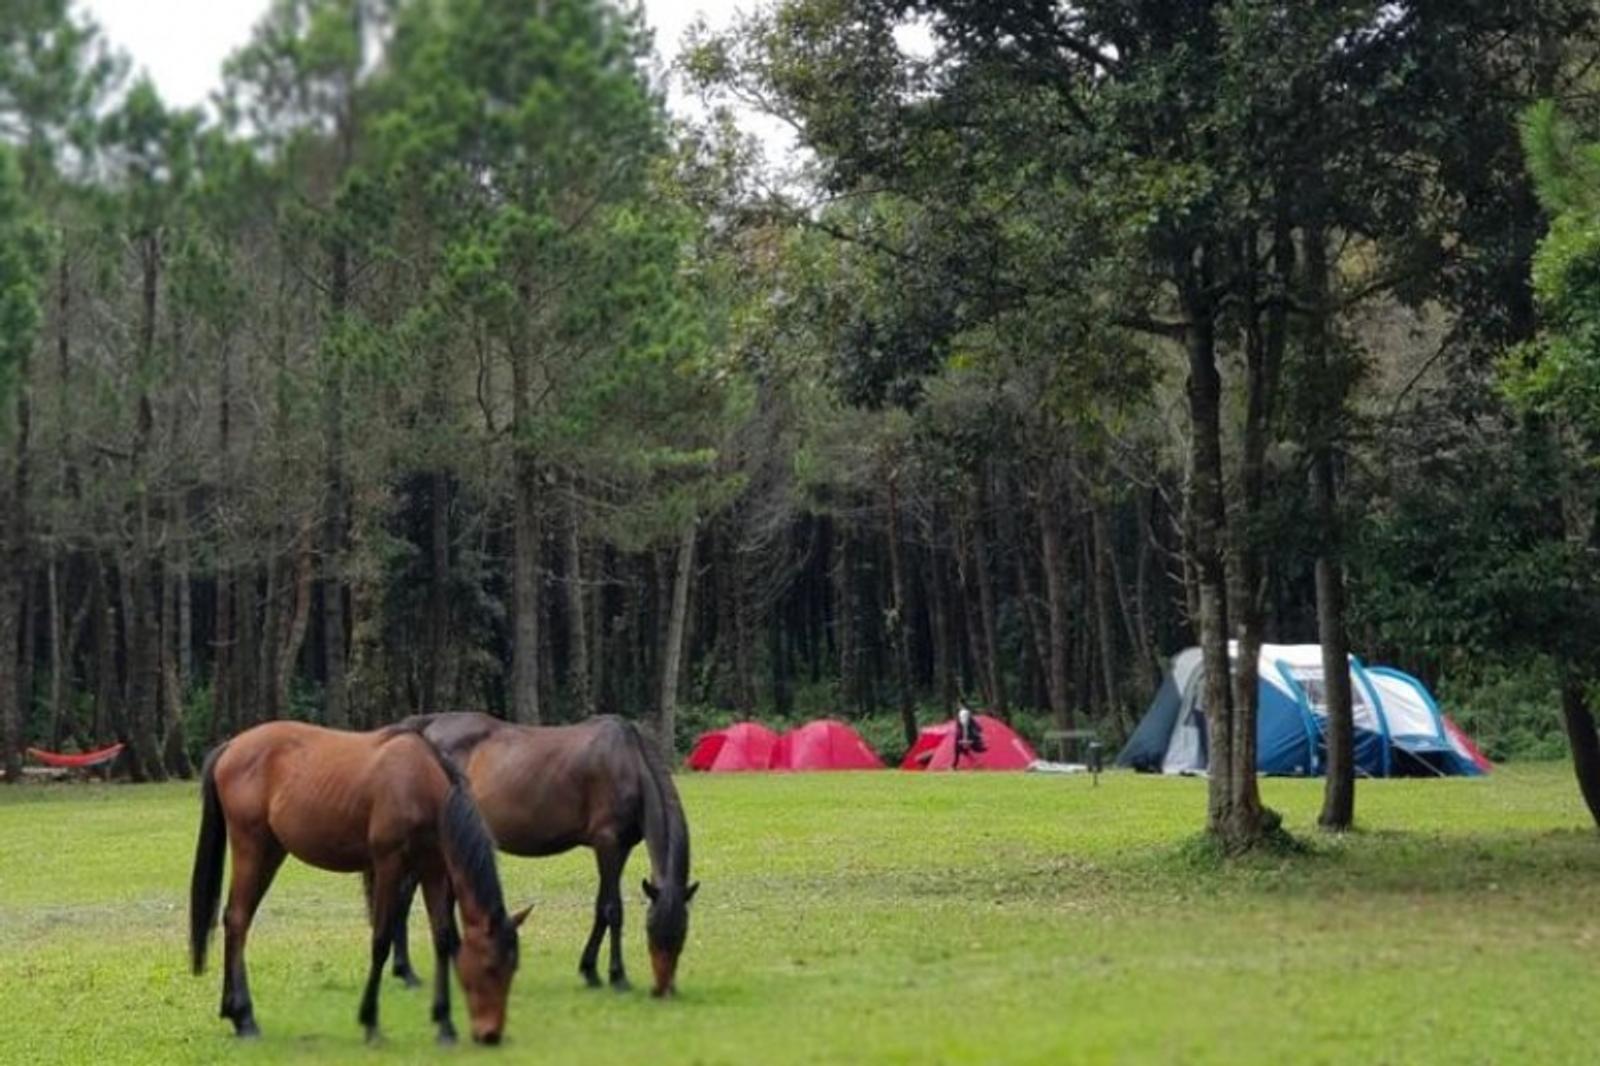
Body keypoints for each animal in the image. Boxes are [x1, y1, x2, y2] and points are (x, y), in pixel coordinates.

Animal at [186, 717, 524, 1043]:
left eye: (513, 968)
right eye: (489, 967)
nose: (490, 1035)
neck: (419, 783)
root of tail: (231, 746)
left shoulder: (434, 869)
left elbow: (442, 939)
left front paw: (445, 1025)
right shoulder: (389, 865)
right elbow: (382, 939)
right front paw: (370, 1022)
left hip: (271, 852)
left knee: (238, 921)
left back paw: (233, 1012)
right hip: (251, 848)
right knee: (237, 919)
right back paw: (245, 1019)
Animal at [390, 713, 697, 998]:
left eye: (682, 934)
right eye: (651, 931)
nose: (664, 989)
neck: (628, 762)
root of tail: (424, 730)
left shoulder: (620, 848)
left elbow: (600, 908)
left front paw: (590, 971)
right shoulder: (609, 844)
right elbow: (613, 910)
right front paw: (617, 976)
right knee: (404, 899)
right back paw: (407, 972)